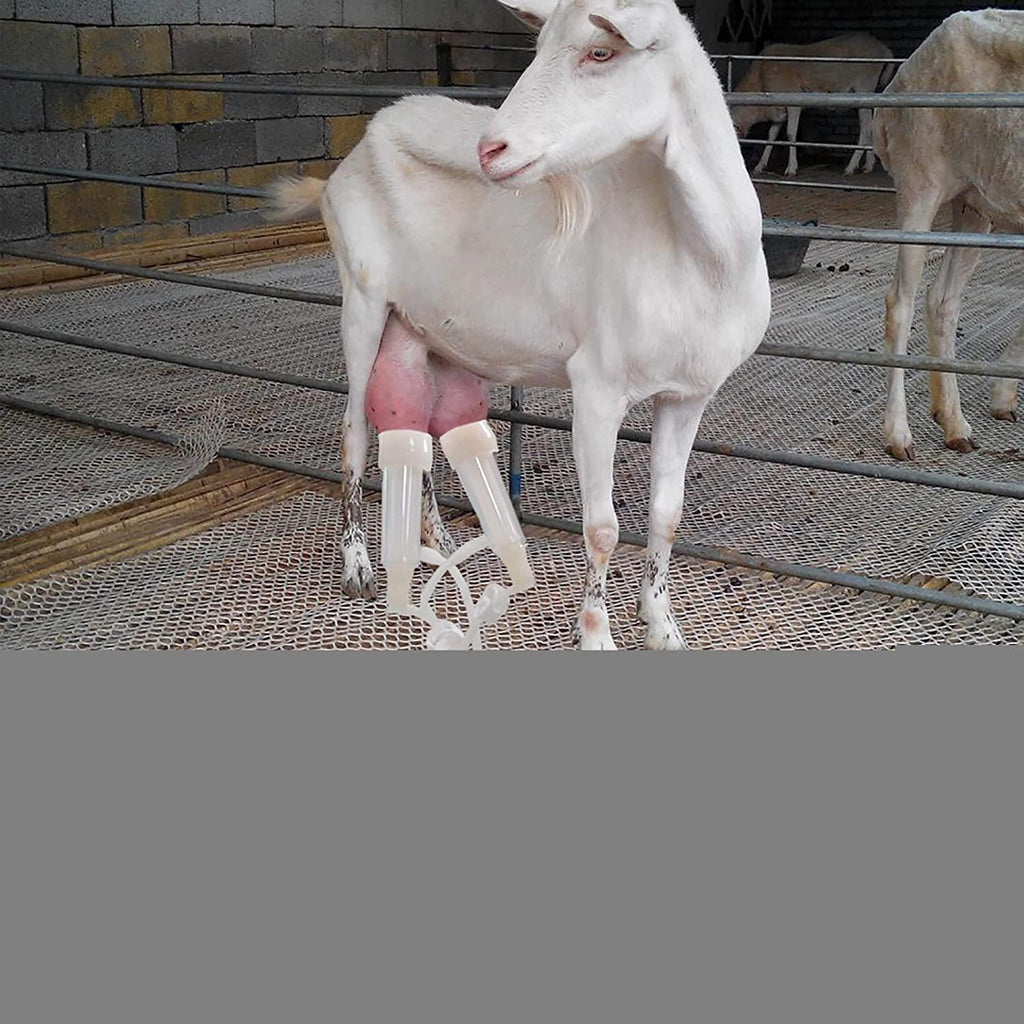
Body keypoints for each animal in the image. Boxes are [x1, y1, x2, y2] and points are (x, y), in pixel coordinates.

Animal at [269, 0, 770, 650]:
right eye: (539, 47)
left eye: (600, 52)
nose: (490, 150)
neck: (694, 252)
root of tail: (351, 157)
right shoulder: (597, 385)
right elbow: (602, 527)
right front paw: (596, 634)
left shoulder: (689, 394)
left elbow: (667, 514)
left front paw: (661, 624)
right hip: (362, 299)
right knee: (354, 429)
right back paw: (358, 565)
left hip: (424, 328)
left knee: (416, 429)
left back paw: (441, 546)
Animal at [732, 32, 898, 176]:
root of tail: (884, 49)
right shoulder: (778, 109)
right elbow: (771, 135)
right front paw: (760, 165)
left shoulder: (792, 103)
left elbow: (791, 133)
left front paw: (791, 168)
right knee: (869, 125)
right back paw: (868, 165)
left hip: (863, 87)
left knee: (865, 128)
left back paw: (850, 167)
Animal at [874, 9, 1024, 460]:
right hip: (920, 181)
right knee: (900, 302)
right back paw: (898, 434)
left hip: (973, 202)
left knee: (943, 299)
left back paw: (954, 424)